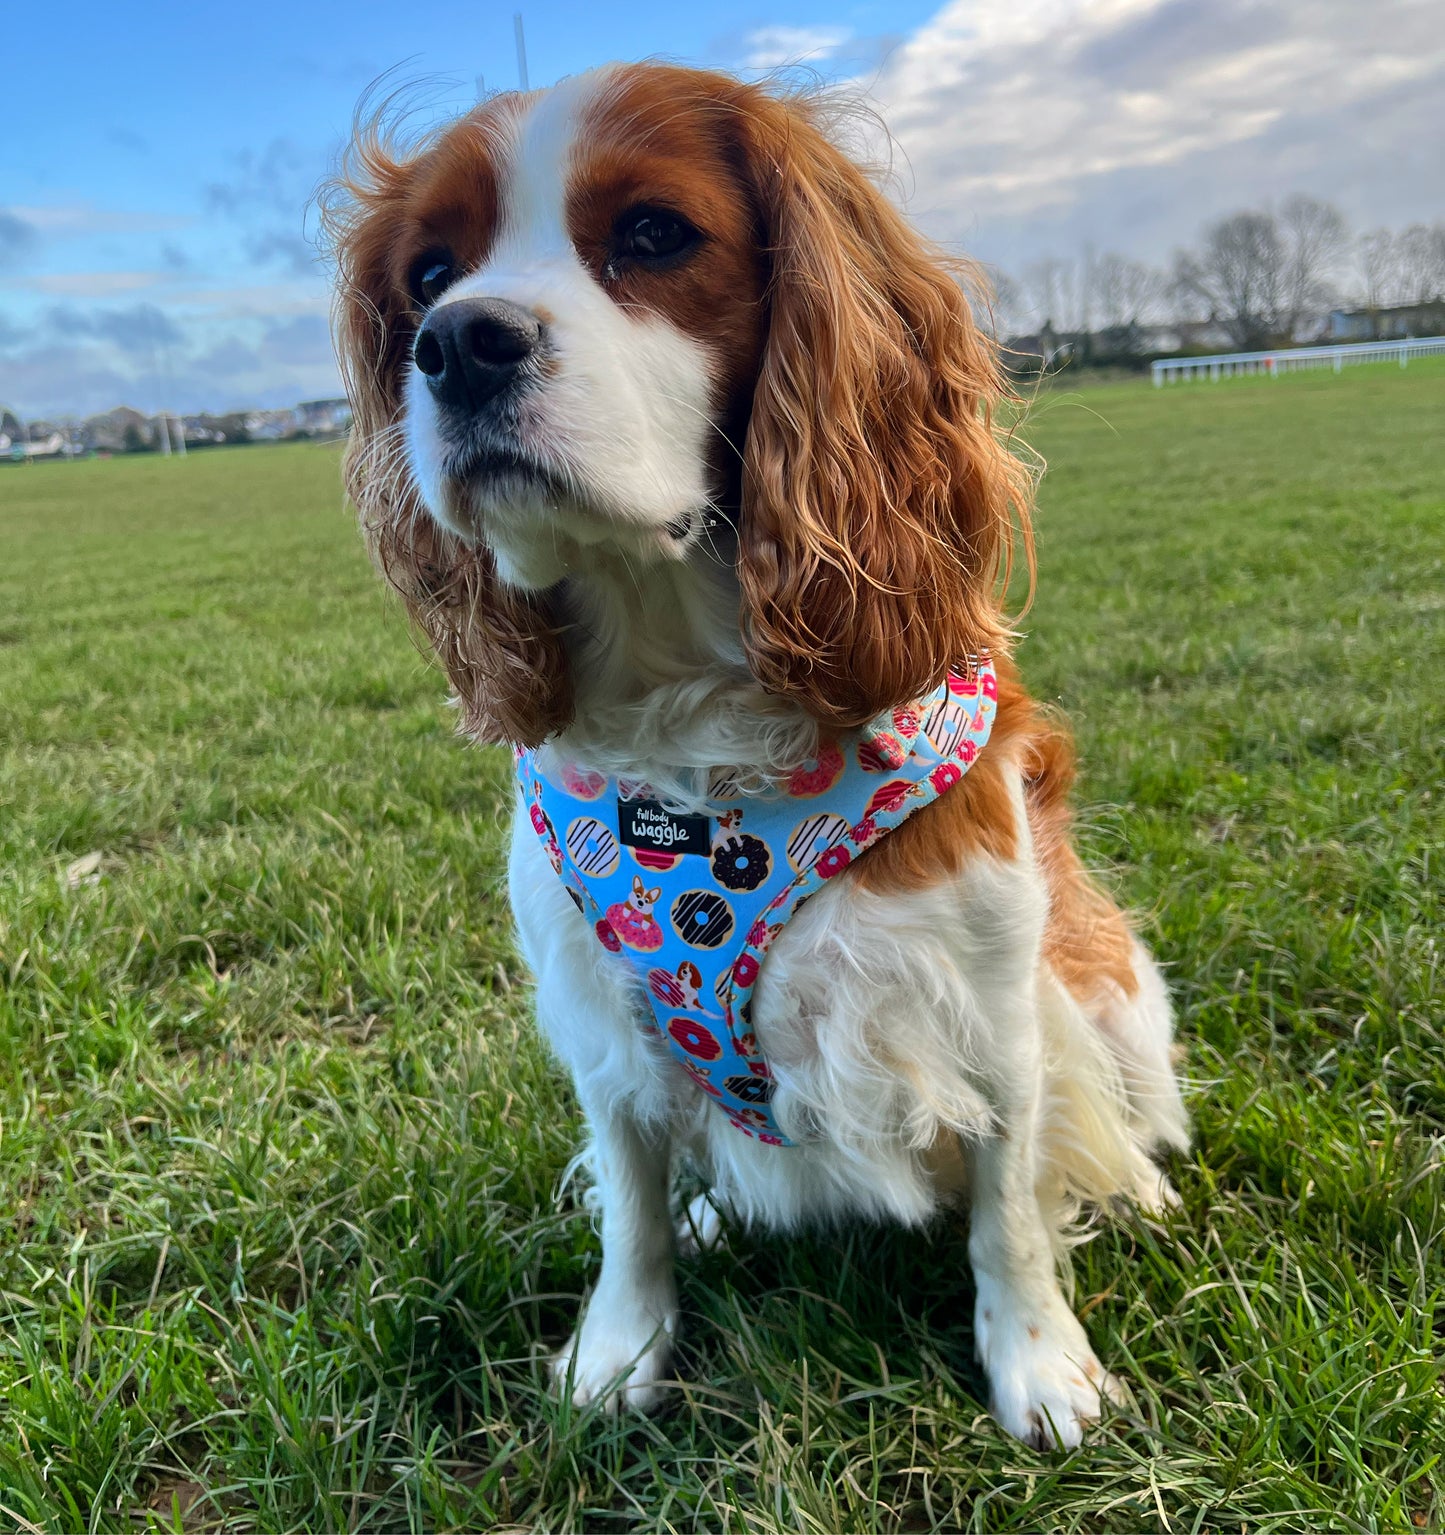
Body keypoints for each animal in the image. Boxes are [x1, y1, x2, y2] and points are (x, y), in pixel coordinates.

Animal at [327, 62, 1185, 1449]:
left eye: (652, 234)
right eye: (428, 274)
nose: (455, 341)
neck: (693, 721)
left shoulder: (990, 1006)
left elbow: (1007, 1211)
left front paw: (1039, 1363)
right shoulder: (601, 1020)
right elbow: (629, 1205)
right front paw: (619, 1351)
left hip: (1107, 981)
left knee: (1122, 1106)